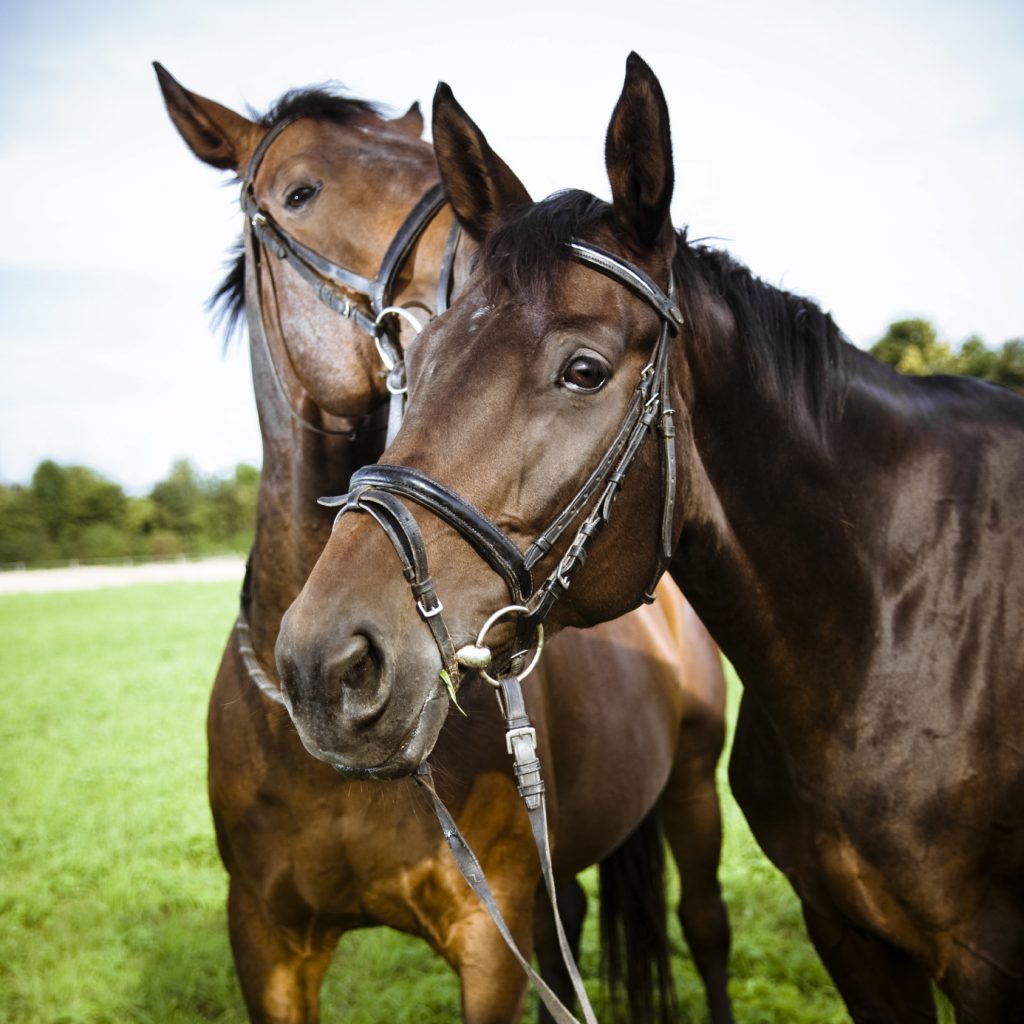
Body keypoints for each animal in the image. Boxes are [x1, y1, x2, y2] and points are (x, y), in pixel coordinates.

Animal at [156, 65, 734, 1024]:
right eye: (299, 192)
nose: (332, 668)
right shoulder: (267, 945)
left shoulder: (487, 946)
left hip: (692, 789)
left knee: (707, 929)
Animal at [275, 53, 1024, 1023]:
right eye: (423, 358)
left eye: (585, 371)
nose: (322, 665)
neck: (890, 626)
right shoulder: (853, 941)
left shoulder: (987, 964)